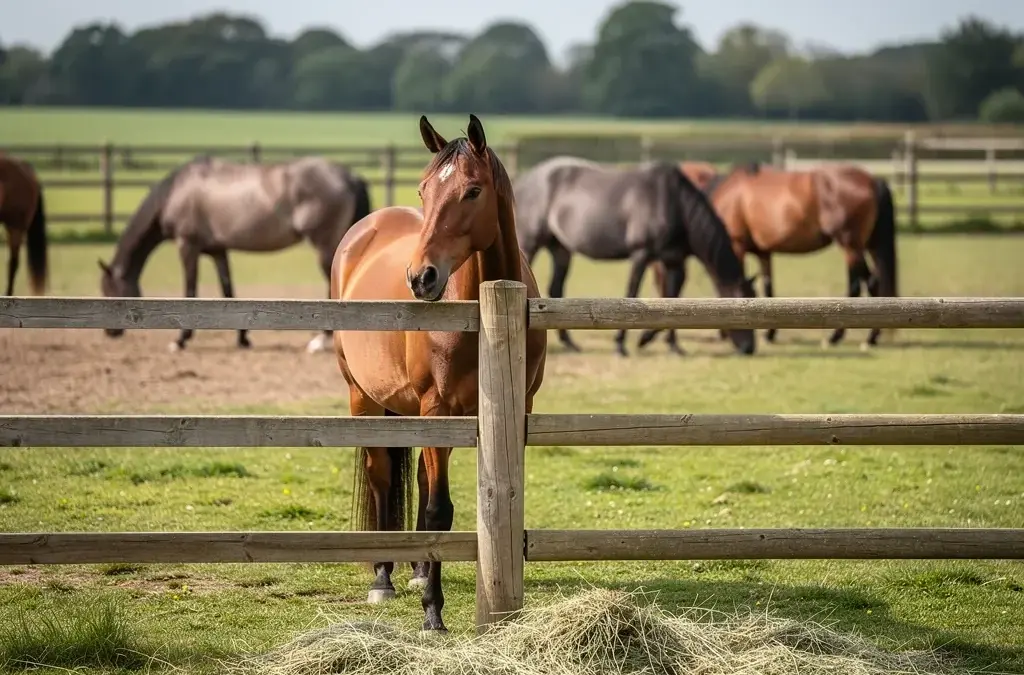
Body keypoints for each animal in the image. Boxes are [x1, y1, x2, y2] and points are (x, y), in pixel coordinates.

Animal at [98, 155, 371, 352]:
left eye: (109, 289)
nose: (110, 332)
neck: (178, 190)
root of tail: (350, 177)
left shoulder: (188, 246)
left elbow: (190, 290)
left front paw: (180, 340)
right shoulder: (218, 251)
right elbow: (228, 290)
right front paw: (242, 339)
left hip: (326, 248)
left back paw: (320, 341)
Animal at [332, 114, 547, 633]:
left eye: (472, 191)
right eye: (423, 189)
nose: (421, 277)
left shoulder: (516, 414)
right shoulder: (438, 408)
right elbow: (438, 509)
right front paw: (433, 611)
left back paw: (416, 567)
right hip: (363, 398)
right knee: (382, 477)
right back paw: (384, 576)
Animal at [514, 155, 757, 357]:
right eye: (739, 306)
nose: (749, 348)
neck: (673, 203)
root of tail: (525, 180)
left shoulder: (674, 262)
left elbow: (673, 298)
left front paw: (669, 345)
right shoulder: (641, 255)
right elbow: (632, 294)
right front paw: (622, 345)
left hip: (560, 248)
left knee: (556, 289)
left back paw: (570, 343)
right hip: (530, 243)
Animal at [640, 161, 898, 352]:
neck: (728, 195)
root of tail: (873, 180)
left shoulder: (737, 246)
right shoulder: (762, 252)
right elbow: (767, 287)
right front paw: (769, 333)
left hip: (850, 245)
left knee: (865, 284)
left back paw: (852, 338)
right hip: (868, 245)